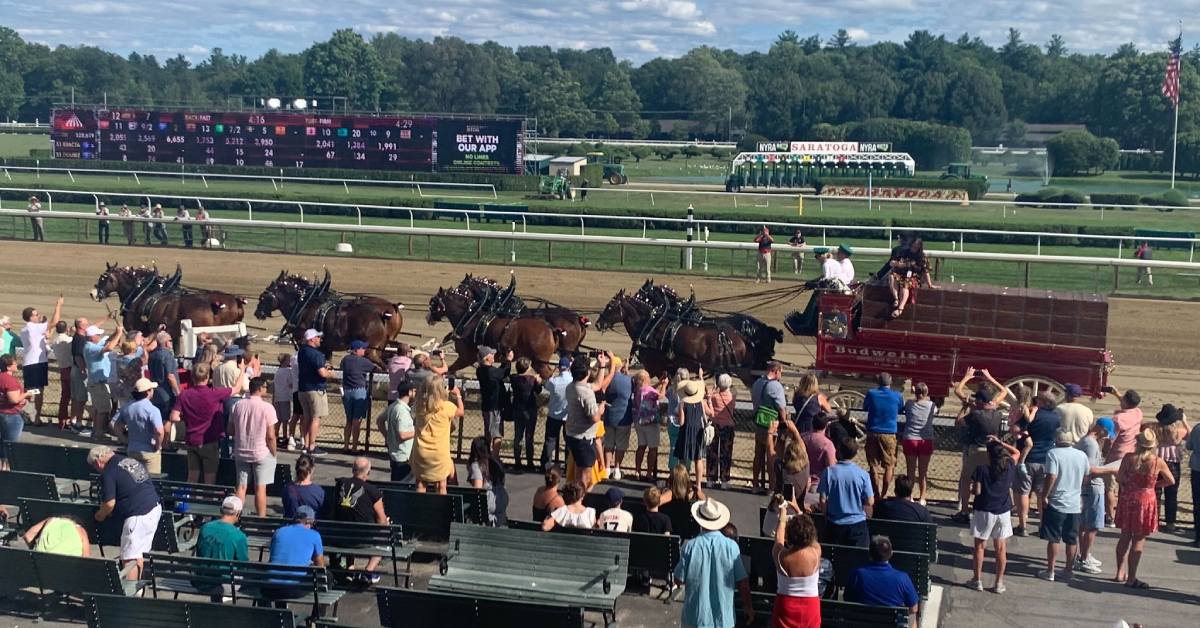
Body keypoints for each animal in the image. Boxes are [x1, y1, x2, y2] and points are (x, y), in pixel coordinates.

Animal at [253, 271, 403, 369]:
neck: (304, 304)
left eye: (265, 294)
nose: (257, 313)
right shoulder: (326, 346)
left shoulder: (305, 342)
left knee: (384, 366)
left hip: (370, 350)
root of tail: (383, 314)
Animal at [427, 285, 561, 379]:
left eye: (433, 302)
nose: (428, 318)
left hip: (539, 363)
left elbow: (448, 370)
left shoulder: (466, 358)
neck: (469, 320)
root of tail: (550, 329)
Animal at [597, 289, 753, 386]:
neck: (651, 326)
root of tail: (737, 337)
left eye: (610, 306)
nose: (599, 323)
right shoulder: (669, 368)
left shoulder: (654, 366)